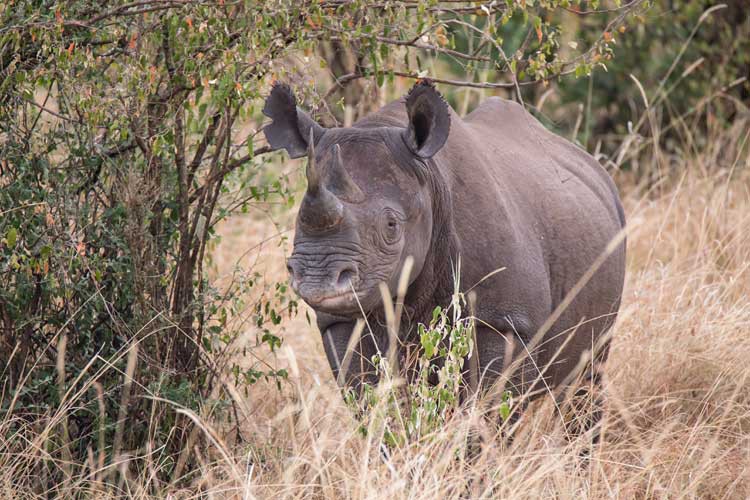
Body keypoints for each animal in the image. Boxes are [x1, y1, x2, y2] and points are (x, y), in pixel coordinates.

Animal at [264, 80, 628, 428]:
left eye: (391, 226)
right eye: (298, 220)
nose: (318, 279)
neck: (429, 181)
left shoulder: (506, 321)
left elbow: (487, 414)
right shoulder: (342, 320)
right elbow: (373, 404)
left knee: (587, 375)